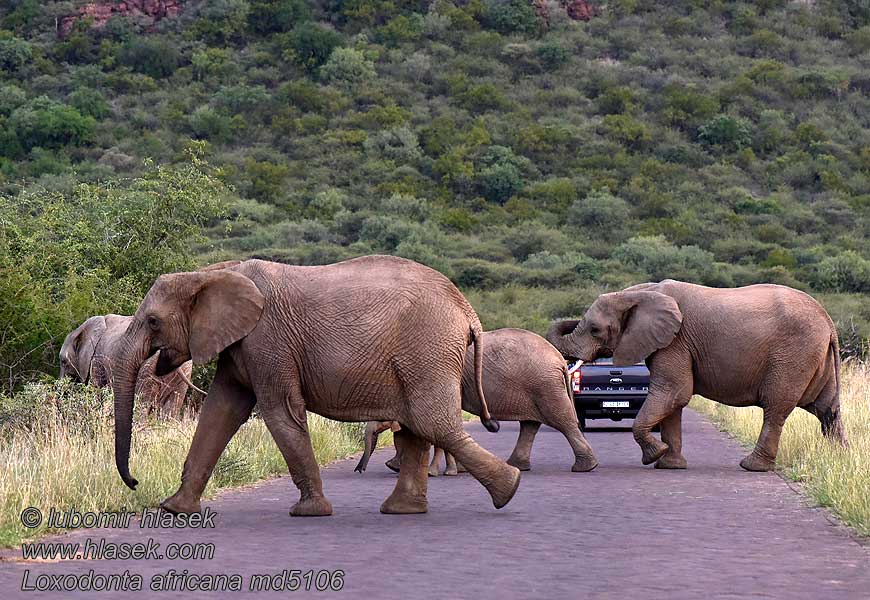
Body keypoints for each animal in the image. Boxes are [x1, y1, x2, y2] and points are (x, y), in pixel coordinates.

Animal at [59, 316, 198, 420]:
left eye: (63, 361)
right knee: (171, 408)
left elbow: (98, 389)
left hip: (147, 370)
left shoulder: (97, 359)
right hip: (183, 372)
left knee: (142, 404)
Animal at [106, 254, 520, 516]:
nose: (134, 482)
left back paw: (509, 490)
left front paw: (308, 512)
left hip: (427, 349)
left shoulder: (268, 340)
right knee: (418, 426)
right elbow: (221, 413)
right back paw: (403, 510)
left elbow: (279, 413)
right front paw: (173, 509)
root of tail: (467, 310)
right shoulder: (241, 345)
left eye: (154, 322)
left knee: (431, 422)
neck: (213, 272)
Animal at [358, 328, 604, 474]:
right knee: (530, 425)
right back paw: (516, 466)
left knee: (563, 421)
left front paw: (435, 472)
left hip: (545, 385)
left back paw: (584, 467)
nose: (359, 470)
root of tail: (560, 359)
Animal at [548, 278, 848, 472]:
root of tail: (828, 320)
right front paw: (669, 465)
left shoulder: (675, 341)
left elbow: (674, 392)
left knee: (776, 408)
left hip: (793, 355)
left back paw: (752, 467)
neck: (637, 293)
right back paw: (838, 461)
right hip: (813, 357)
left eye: (595, 330)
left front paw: (654, 456)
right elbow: (673, 400)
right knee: (827, 409)